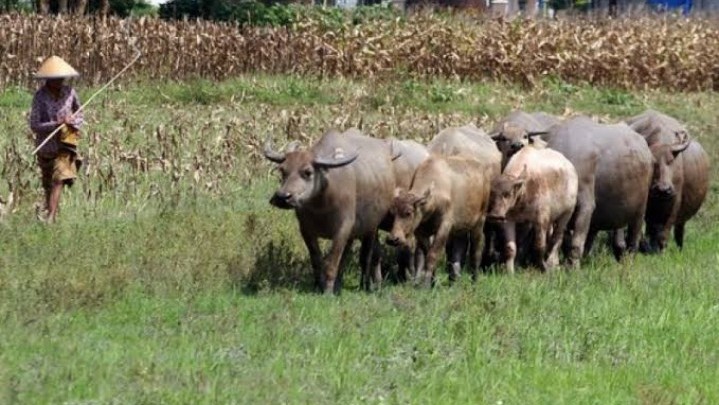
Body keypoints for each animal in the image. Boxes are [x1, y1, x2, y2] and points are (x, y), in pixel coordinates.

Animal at [264, 129, 396, 294]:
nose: (282, 197)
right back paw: (339, 284)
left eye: (308, 172)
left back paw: (366, 285)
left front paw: (327, 291)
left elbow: (333, 261)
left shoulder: (343, 228)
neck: (321, 206)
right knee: (346, 256)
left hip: (371, 227)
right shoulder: (306, 230)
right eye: (283, 170)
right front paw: (318, 285)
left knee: (367, 256)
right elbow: (317, 259)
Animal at [484, 144, 580, 274]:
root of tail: (571, 168)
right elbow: (510, 248)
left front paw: (543, 268)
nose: (494, 215)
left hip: (566, 213)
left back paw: (552, 263)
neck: (525, 190)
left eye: (508, 194)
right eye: (491, 194)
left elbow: (539, 246)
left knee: (557, 238)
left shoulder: (541, 220)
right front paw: (510, 271)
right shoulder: (508, 220)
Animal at [628, 109, 712, 251]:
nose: (663, 189)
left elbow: (664, 230)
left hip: (681, 217)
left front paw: (661, 249)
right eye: (653, 162)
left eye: (671, 161)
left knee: (678, 230)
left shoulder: (674, 201)